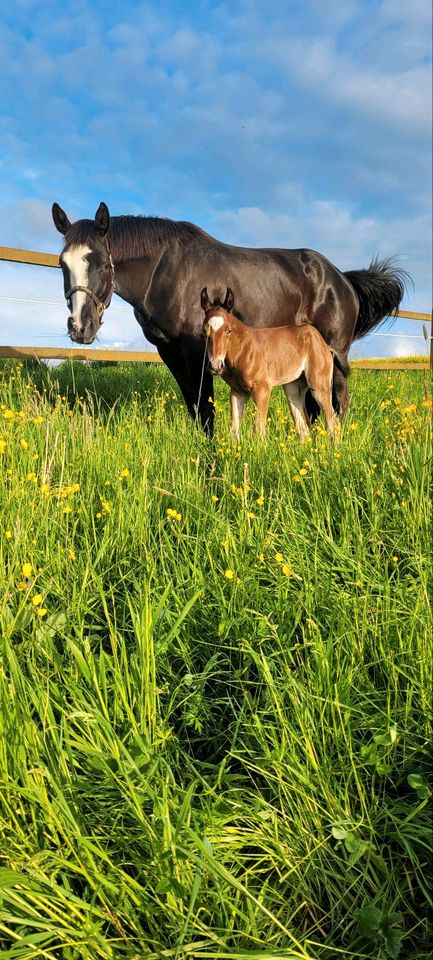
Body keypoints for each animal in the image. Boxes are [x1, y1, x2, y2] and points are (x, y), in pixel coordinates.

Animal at [200, 286, 338, 440]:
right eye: (204, 332)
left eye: (228, 330)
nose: (215, 366)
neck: (243, 350)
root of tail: (323, 343)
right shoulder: (238, 392)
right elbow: (234, 429)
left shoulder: (262, 389)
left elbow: (259, 429)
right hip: (293, 387)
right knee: (303, 428)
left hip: (318, 384)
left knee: (332, 419)